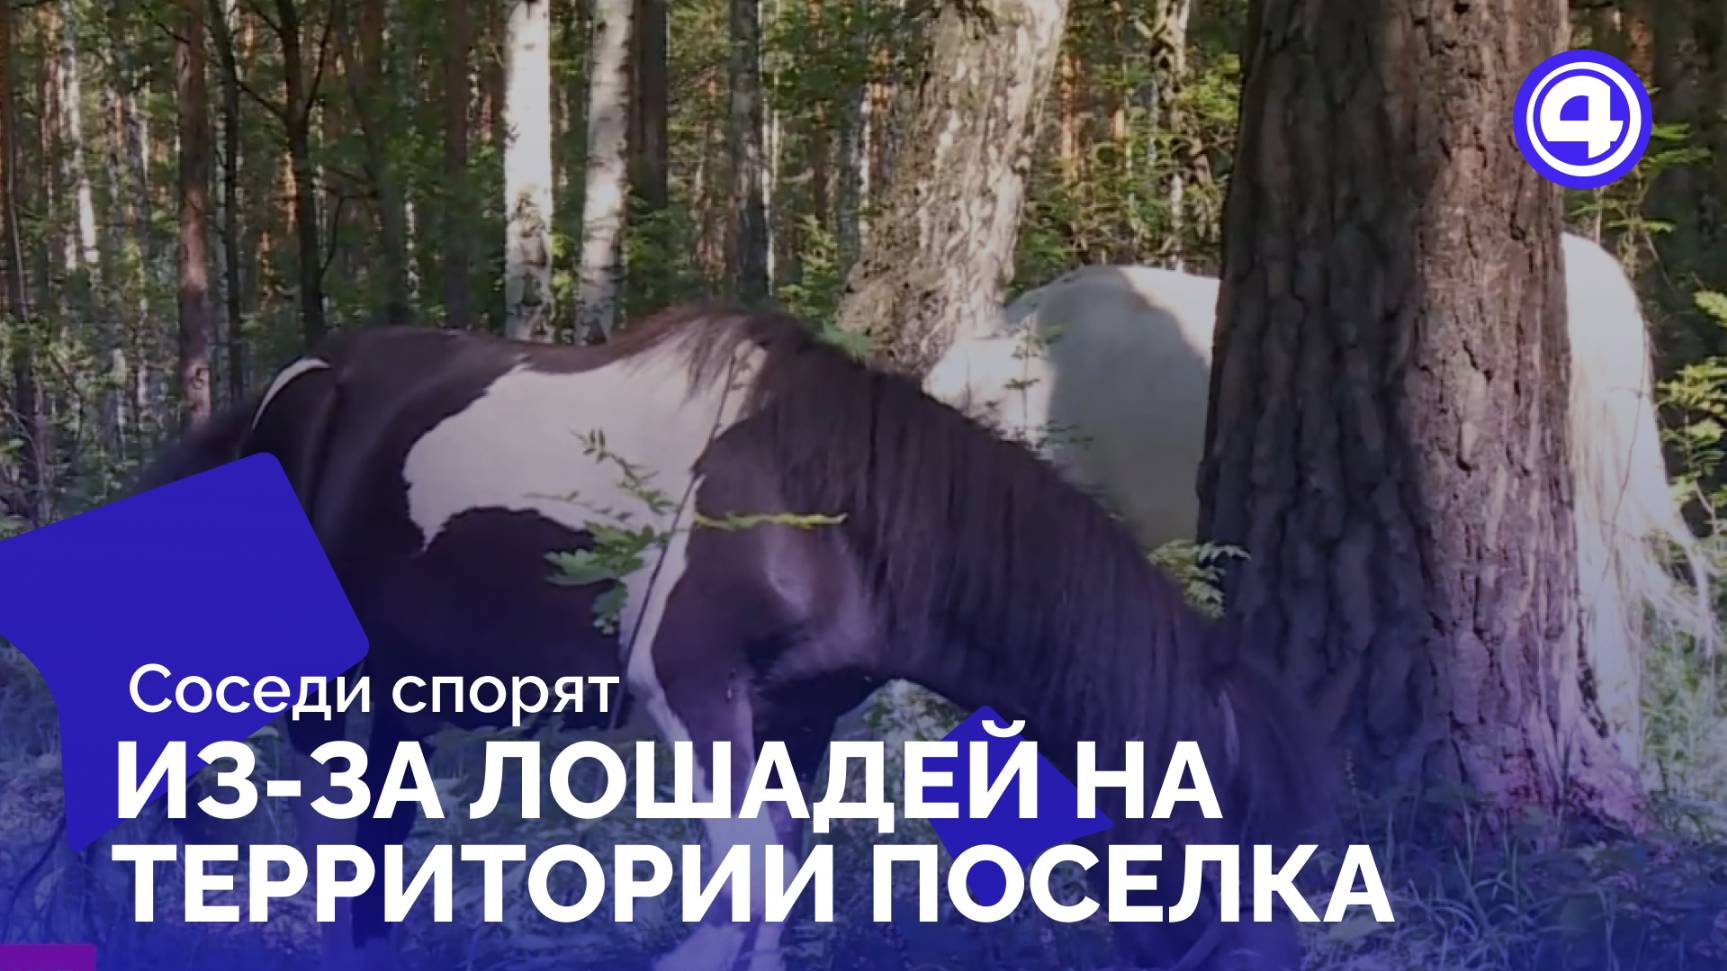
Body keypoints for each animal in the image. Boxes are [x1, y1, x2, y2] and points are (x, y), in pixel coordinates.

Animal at [141, 307, 1317, 971]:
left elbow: (772, 909)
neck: (823, 506)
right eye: (1228, 853)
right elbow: (733, 909)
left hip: (401, 703)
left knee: (371, 864)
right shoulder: (695, 703)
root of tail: (285, 391)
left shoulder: (797, 727)